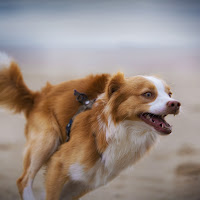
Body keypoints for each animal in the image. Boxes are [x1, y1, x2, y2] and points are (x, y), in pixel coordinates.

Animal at [0, 54, 181, 200]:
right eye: (148, 94)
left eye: (169, 94)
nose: (175, 104)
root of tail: (37, 96)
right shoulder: (58, 163)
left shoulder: (86, 181)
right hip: (47, 140)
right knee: (23, 180)